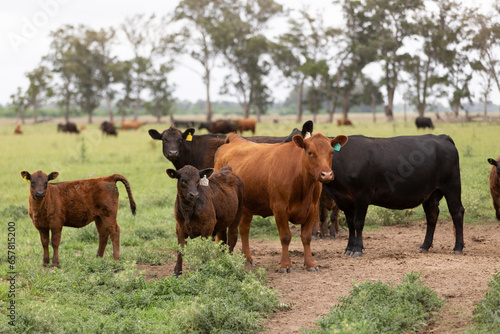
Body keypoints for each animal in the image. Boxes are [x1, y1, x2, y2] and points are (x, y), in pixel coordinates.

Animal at [215, 132, 348, 272]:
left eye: (331, 152)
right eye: (310, 152)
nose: (326, 174)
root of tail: (235, 139)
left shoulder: (312, 209)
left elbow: (306, 237)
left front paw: (310, 263)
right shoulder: (280, 208)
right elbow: (285, 237)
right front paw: (285, 264)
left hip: (247, 207)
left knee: (244, 229)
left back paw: (247, 259)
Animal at [324, 134, 464, 258]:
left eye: (330, 152)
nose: (325, 174)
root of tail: (441, 137)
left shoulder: (363, 195)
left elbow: (358, 222)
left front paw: (357, 249)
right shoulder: (343, 200)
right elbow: (350, 224)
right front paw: (348, 248)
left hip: (452, 187)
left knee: (457, 212)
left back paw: (458, 248)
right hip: (430, 194)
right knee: (432, 215)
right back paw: (424, 246)